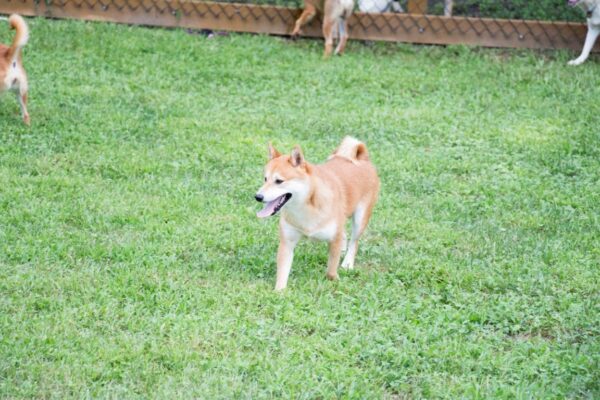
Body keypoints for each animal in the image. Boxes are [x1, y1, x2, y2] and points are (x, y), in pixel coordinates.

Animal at [254, 138, 380, 290]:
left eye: (279, 181)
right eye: (265, 179)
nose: (258, 196)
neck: (305, 207)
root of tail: (363, 159)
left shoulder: (334, 238)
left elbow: (331, 269)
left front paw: (334, 280)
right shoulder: (287, 243)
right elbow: (282, 272)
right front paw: (279, 291)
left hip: (360, 219)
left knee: (354, 242)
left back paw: (348, 262)